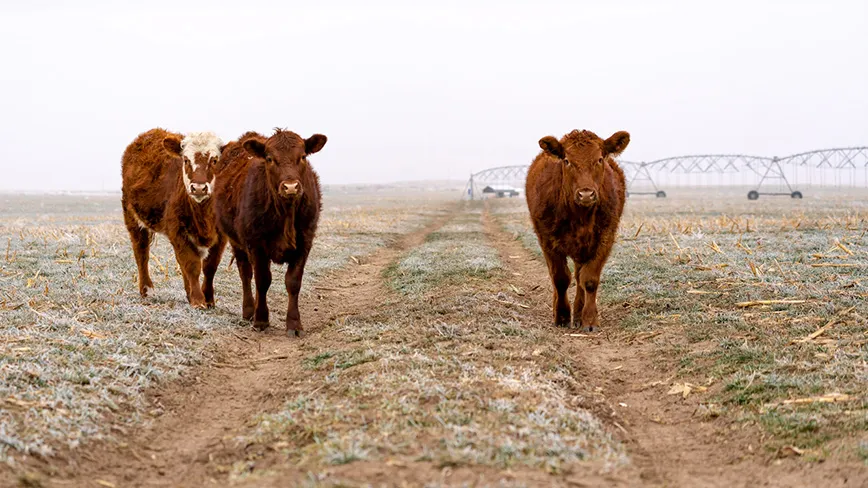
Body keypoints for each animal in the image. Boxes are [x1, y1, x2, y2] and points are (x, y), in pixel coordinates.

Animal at [121, 128, 226, 309]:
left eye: (214, 160)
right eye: (186, 160)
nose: (199, 188)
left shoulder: (221, 236)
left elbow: (210, 266)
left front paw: (208, 299)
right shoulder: (178, 231)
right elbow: (192, 265)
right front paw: (198, 300)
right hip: (132, 218)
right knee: (141, 252)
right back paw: (146, 289)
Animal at [212, 128, 327, 337]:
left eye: (303, 156)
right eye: (269, 158)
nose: (290, 187)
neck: (286, 212)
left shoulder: (304, 243)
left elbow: (293, 282)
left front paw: (294, 324)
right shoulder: (256, 245)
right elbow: (262, 280)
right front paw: (261, 320)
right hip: (237, 243)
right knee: (246, 274)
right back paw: (249, 311)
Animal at [525, 129, 629, 332]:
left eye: (599, 159)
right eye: (566, 160)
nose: (586, 194)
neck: (581, 217)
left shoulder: (605, 238)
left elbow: (589, 279)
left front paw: (589, 319)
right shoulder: (547, 240)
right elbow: (560, 278)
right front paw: (562, 316)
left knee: (580, 276)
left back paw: (579, 313)